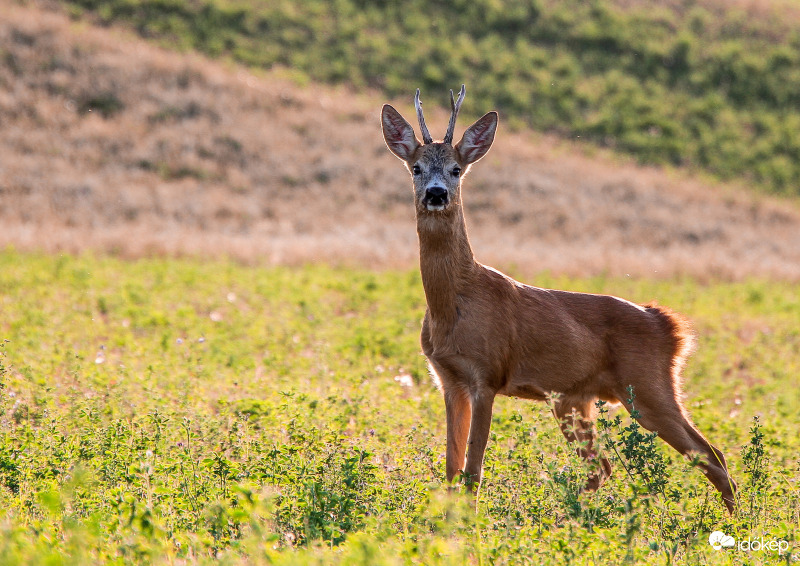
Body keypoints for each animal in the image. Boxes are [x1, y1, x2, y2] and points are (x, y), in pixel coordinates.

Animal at [382, 86, 736, 516]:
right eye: (416, 168)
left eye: (456, 169)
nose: (436, 194)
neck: (454, 305)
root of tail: (669, 326)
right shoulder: (448, 380)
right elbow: (452, 467)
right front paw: (447, 521)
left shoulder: (488, 375)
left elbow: (473, 468)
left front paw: (468, 523)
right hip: (574, 400)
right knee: (603, 466)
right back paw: (568, 517)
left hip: (647, 386)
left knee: (711, 454)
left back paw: (740, 524)